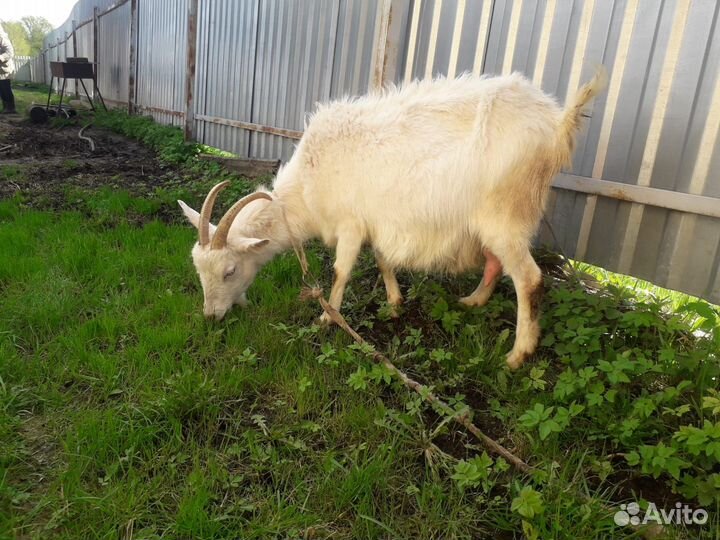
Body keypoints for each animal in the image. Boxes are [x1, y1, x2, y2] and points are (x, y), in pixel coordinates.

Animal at [178, 68, 606, 369]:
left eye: (230, 271)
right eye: (199, 270)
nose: (211, 316)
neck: (308, 184)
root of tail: (557, 125)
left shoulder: (350, 224)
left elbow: (341, 271)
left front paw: (327, 319)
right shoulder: (374, 222)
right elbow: (383, 258)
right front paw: (395, 302)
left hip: (505, 214)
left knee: (529, 279)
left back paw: (518, 354)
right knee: (496, 262)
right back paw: (473, 301)